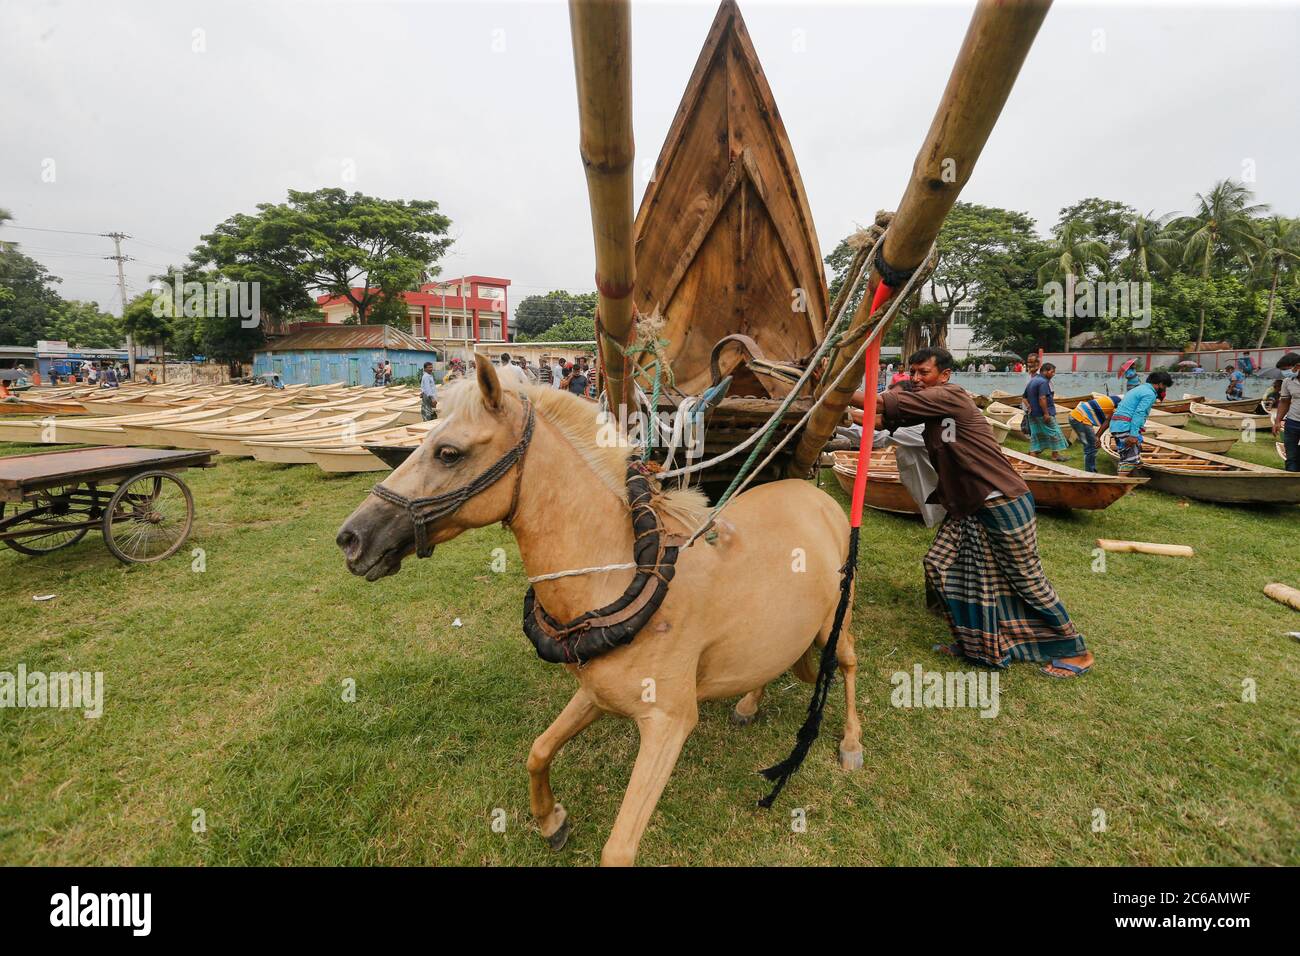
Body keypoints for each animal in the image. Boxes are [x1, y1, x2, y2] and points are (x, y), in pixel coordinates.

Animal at [340, 361, 857, 868]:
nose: (351, 538)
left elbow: (618, 848)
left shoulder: (668, 723)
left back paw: (851, 743)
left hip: (837, 619)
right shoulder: (594, 693)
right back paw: (749, 702)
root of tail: (816, 496)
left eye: (448, 452)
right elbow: (538, 751)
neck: (622, 574)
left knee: (847, 664)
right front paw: (551, 820)